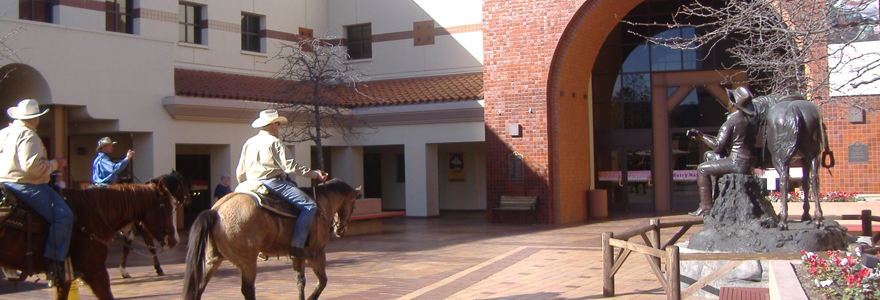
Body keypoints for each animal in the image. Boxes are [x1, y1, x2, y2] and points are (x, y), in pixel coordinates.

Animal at [180, 178, 360, 300]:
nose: (340, 229)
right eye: (353, 205)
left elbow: (300, 282)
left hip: (212, 259)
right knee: (248, 290)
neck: (320, 205)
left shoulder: (298, 256)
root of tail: (216, 211)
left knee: (199, 287)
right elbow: (322, 282)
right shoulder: (317, 254)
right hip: (247, 262)